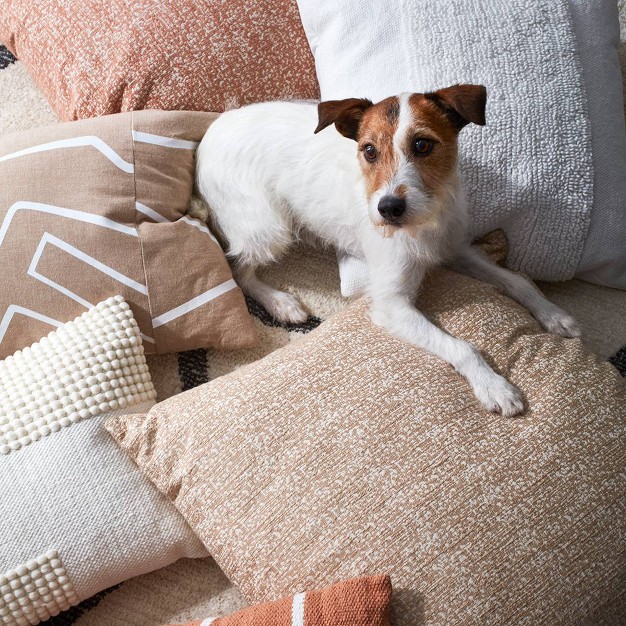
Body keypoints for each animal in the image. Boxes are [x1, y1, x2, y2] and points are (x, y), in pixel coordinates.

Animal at [196, 83, 580, 414]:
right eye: (369, 150)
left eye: (423, 145)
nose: (388, 208)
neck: (425, 221)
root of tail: (212, 128)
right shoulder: (391, 304)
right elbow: (461, 346)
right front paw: (493, 385)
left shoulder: (456, 248)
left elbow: (517, 281)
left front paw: (554, 314)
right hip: (268, 226)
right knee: (238, 269)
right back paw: (280, 303)